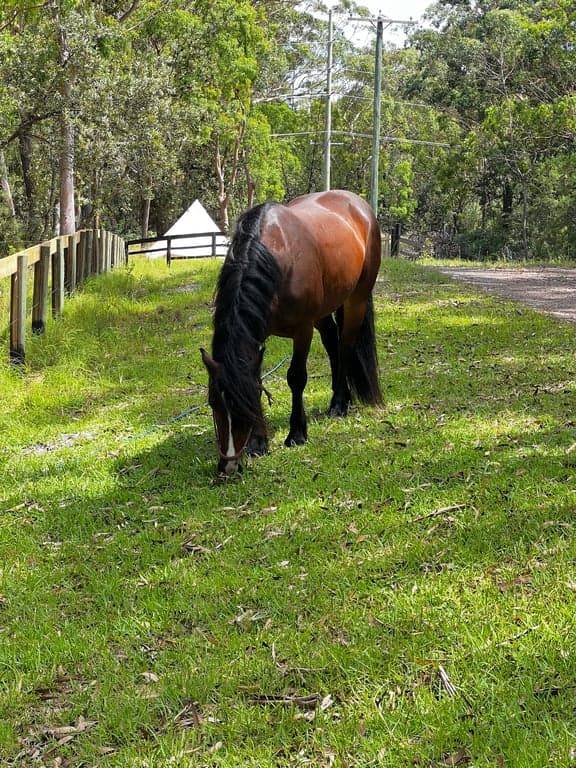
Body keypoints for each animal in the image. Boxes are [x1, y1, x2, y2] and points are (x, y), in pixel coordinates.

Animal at [200, 189, 382, 476]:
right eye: (213, 402)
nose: (229, 466)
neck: (277, 260)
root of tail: (360, 205)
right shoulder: (258, 335)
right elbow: (256, 378)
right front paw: (258, 442)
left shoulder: (302, 331)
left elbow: (296, 378)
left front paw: (297, 433)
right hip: (325, 310)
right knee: (332, 342)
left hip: (356, 301)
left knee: (345, 347)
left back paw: (340, 403)